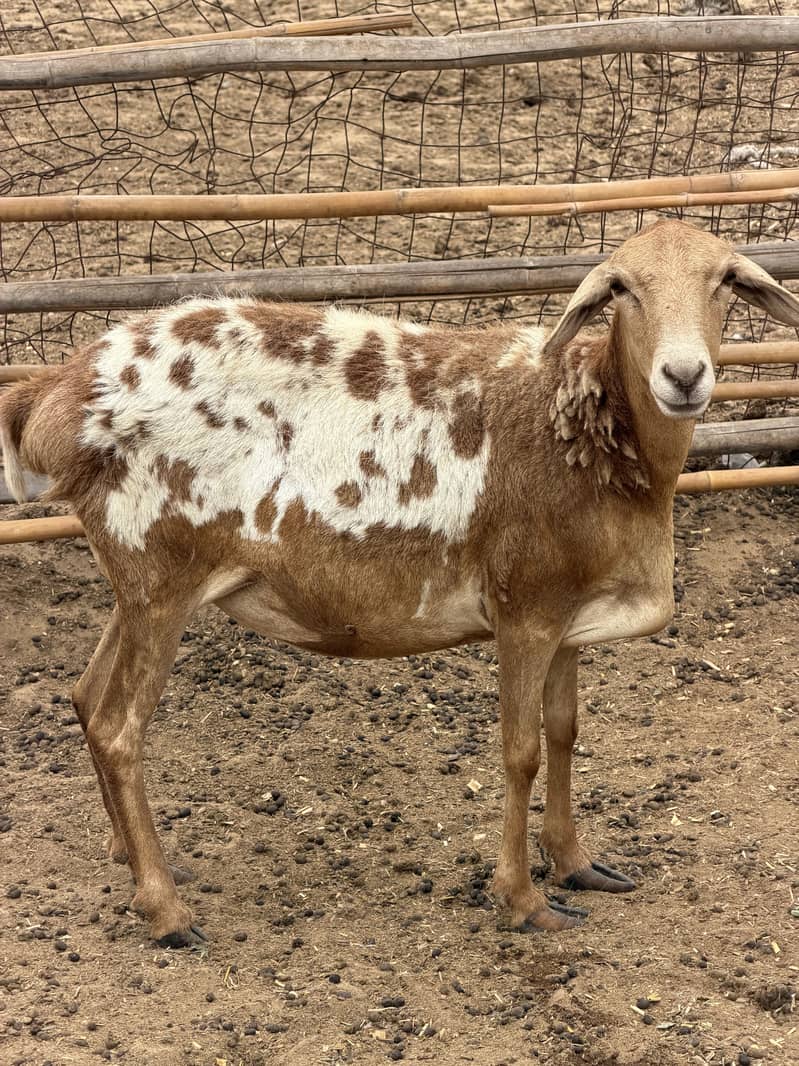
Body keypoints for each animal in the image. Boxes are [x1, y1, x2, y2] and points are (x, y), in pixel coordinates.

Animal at [2, 219, 799, 949]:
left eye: (725, 280)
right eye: (622, 289)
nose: (683, 376)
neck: (590, 433)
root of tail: (53, 395)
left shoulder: (569, 616)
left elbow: (565, 733)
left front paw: (577, 865)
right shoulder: (524, 607)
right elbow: (520, 752)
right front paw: (523, 902)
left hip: (137, 582)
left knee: (85, 698)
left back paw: (132, 863)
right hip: (159, 569)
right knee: (118, 728)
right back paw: (167, 913)